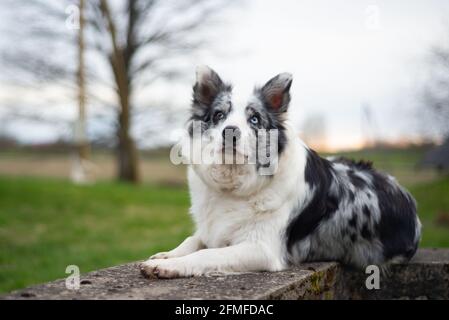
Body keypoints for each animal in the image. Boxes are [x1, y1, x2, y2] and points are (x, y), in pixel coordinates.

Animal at [140, 66, 420, 278]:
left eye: (254, 119)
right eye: (219, 115)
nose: (230, 131)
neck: (236, 183)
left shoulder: (262, 248)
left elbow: (207, 253)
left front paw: (170, 266)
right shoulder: (214, 228)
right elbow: (194, 240)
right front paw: (167, 255)